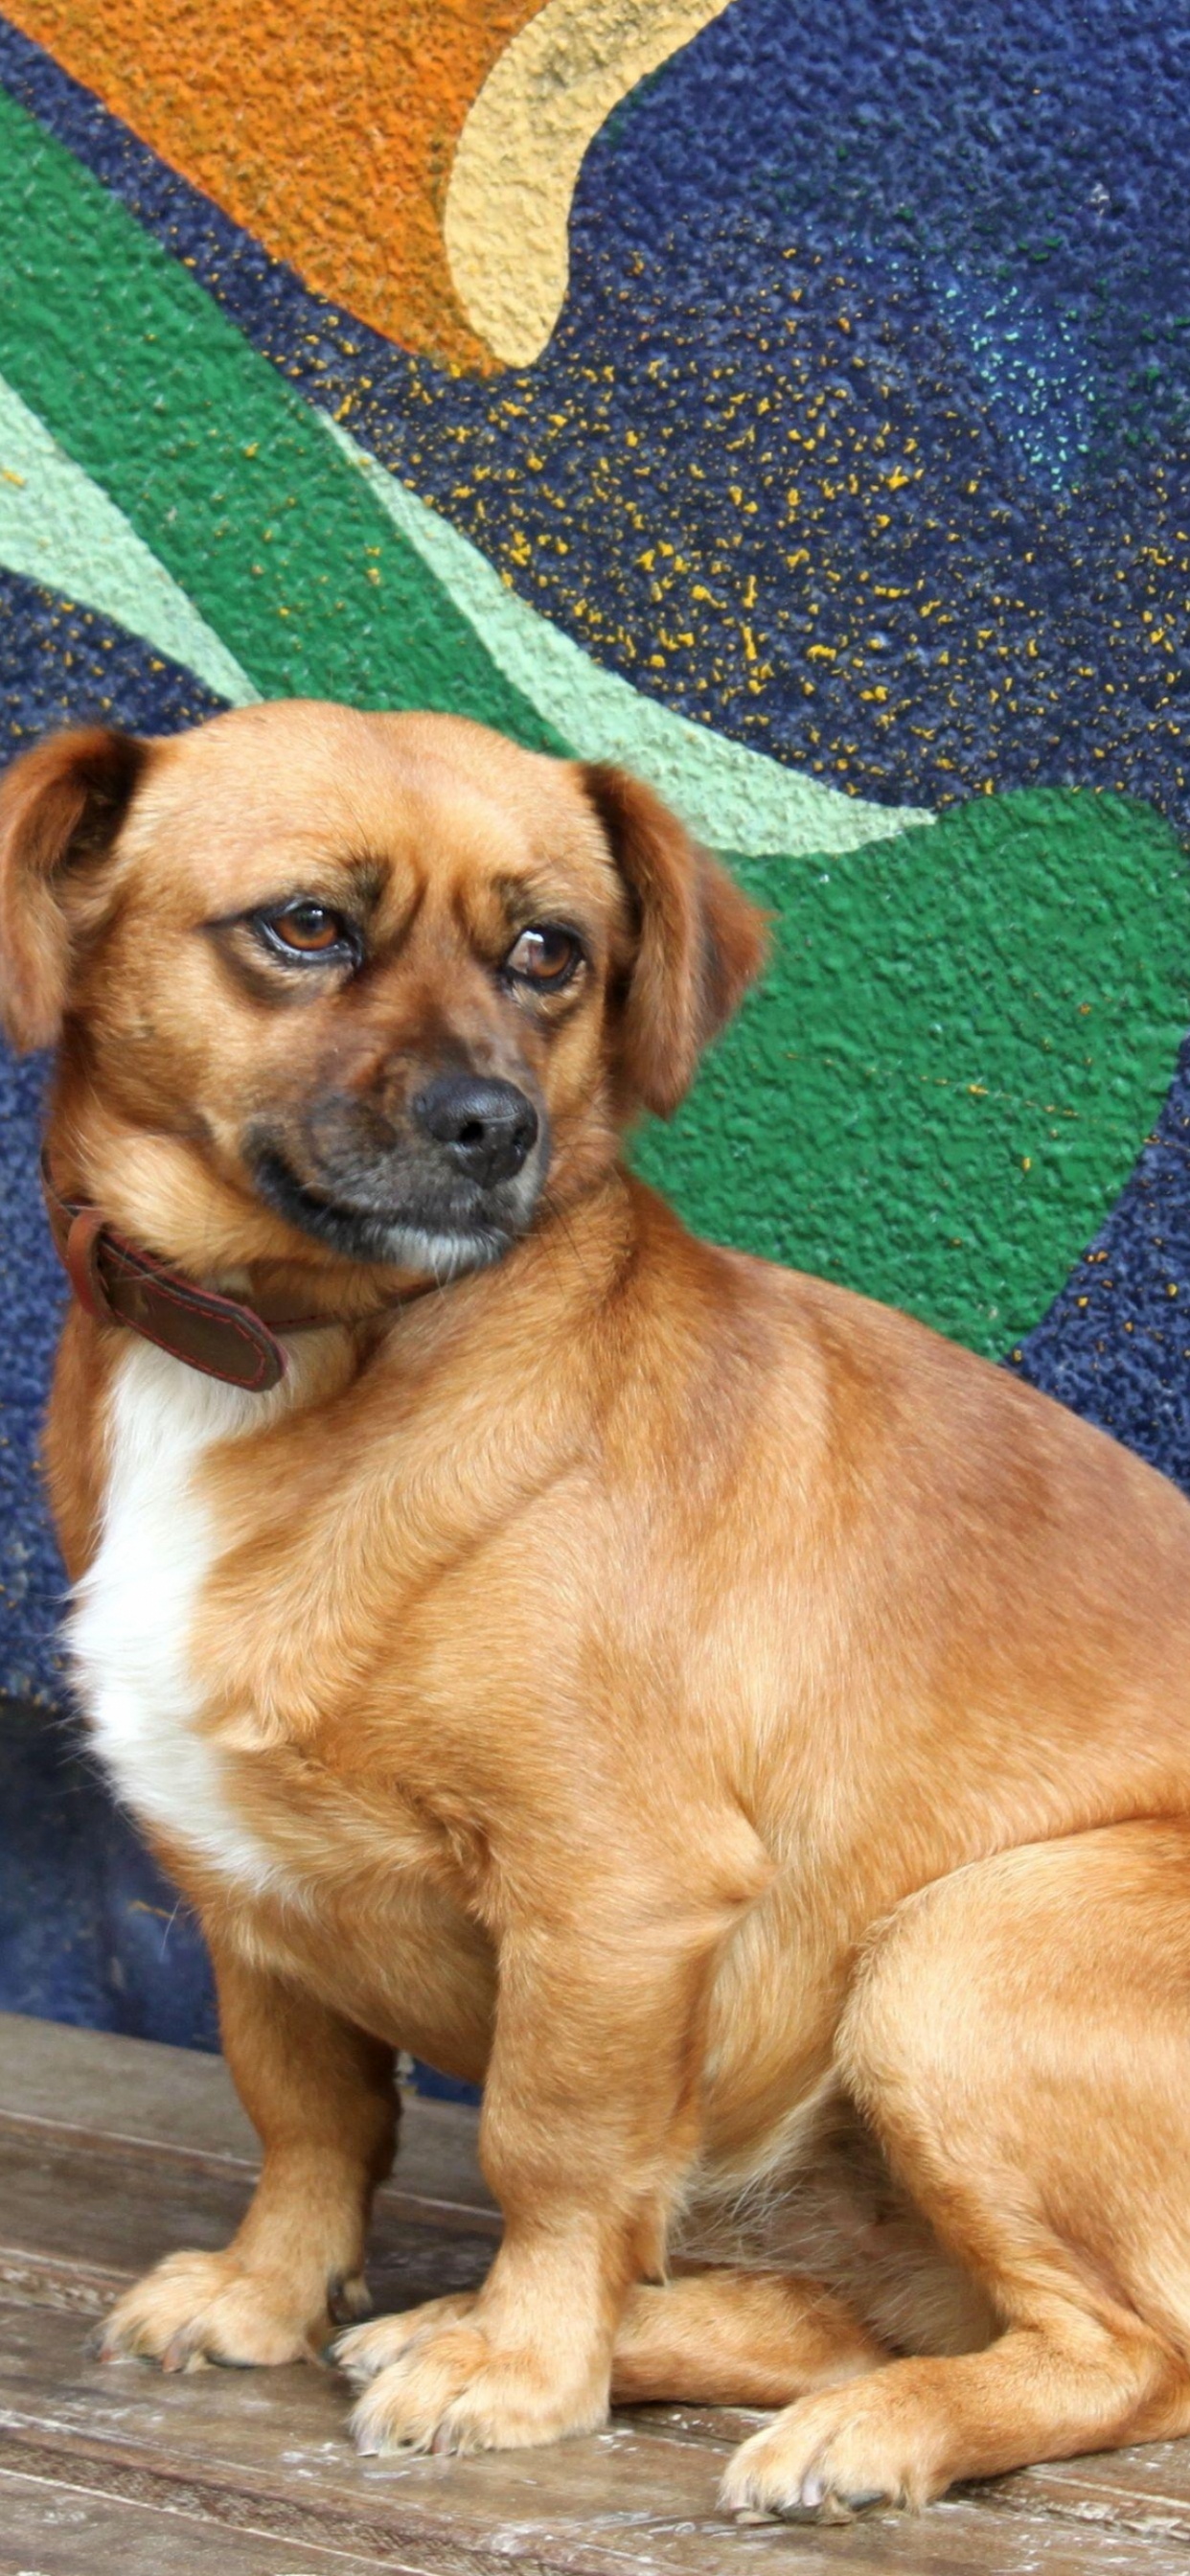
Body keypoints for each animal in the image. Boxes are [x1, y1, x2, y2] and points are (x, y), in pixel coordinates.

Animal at [7, 701, 1190, 2514]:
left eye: (549, 953)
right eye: (306, 926)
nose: (494, 1122)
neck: (304, 1347)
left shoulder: (614, 1900)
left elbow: (548, 2148)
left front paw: (518, 2366)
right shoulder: (239, 1889)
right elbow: (307, 2113)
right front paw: (272, 2294)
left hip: (960, 1947)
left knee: (1124, 2353)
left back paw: (854, 2426)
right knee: (852, 2314)